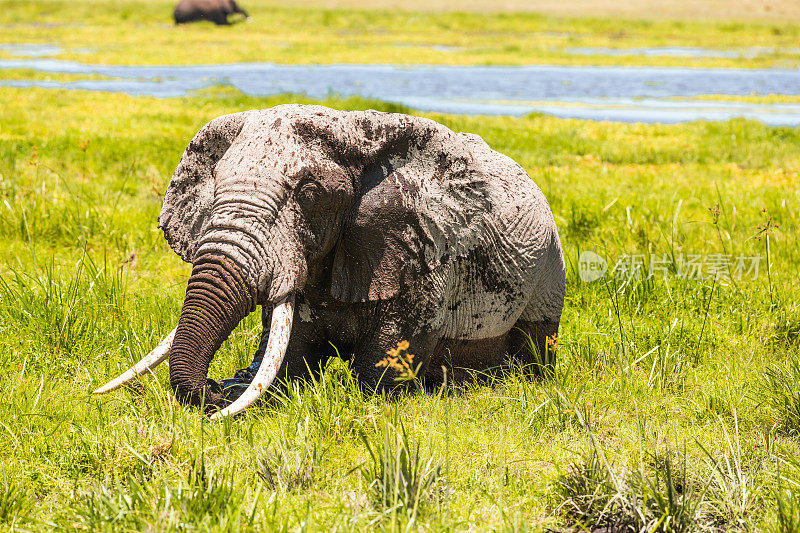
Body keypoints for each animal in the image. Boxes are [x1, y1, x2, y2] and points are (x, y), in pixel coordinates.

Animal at [94, 105, 564, 420]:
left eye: (309, 194)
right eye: (215, 187)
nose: (216, 388)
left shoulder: (424, 252)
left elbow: (384, 365)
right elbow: (293, 354)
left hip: (549, 267)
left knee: (536, 345)